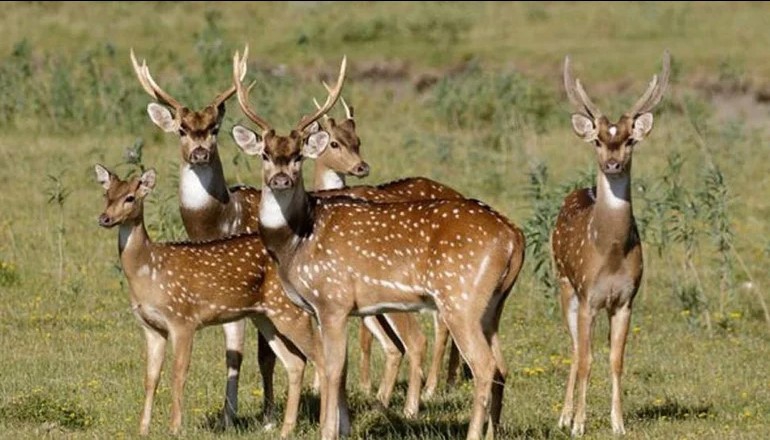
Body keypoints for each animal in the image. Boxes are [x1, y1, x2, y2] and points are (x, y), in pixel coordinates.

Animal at [93, 164, 330, 437]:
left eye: (130, 197)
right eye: (106, 194)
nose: (104, 218)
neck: (149, 270)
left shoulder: (182, 319)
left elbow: (178, 374)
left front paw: (175, 428)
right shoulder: (150, 327)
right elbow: (151, 377)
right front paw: (143, 429)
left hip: (290, 311)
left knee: (321, 359)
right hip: (266, 316)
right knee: (296, 362)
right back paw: (285, 429)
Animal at [230, 48, 526, 440]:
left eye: (298, 156)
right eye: (265, 153)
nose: (280, 179)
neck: (296, 242)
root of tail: (514, 235)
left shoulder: (333, 299)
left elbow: (331, 368)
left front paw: (328, 431)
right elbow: (337, 369)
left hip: (460, 297)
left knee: (484, 365)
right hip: (493, 304)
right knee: (502, 366)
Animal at [553, 51, 670, 436]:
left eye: (630, 140)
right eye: (598, 141)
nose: (613, 163)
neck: (611, 253)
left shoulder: (625, 300)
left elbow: (616, 360)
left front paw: (618, 424)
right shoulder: (589, 296)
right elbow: (587, 359)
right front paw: (578, 424)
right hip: (564, 284)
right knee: (575, 349)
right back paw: (563, 417)